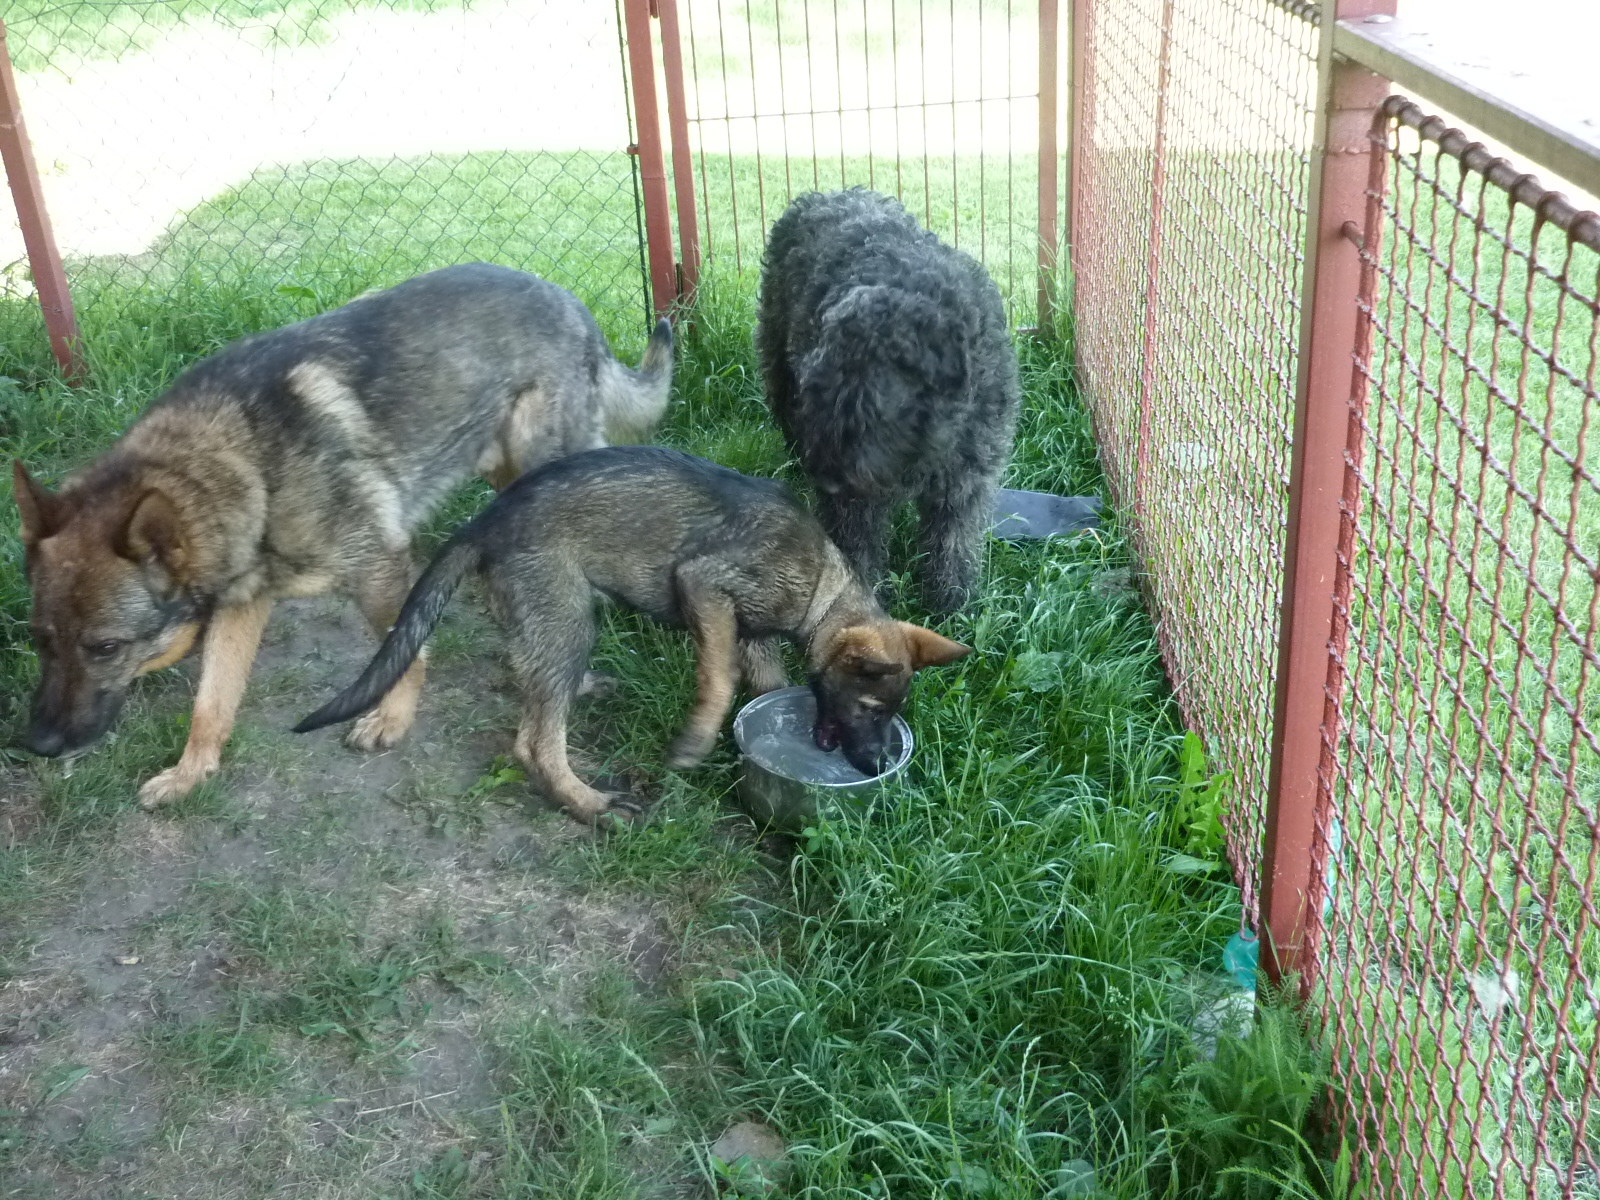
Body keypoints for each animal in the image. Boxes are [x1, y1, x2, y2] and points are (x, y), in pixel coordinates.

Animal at [12, 263, 673, 807]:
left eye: (105, 648)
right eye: (41, 640)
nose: (37, 745)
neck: (243, 466)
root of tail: (569, 301)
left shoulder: (379, 570)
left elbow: (404, 654)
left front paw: (391, 719)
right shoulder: (243, 606)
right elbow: (211, 704)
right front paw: (191, 773)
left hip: (543, 462)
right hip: (503, 470)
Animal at [292, 445, 970, 824]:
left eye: (889, 714)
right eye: (871, 709)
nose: (878, 763)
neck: (821, 589)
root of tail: (484, 521)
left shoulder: (749, 630)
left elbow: (762, 680)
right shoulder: (704, 586)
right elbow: (718, 678)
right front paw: (697, 739)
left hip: (552, 619)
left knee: (534, 680)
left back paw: (582, 694)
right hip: (568, 616)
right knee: (534, 743)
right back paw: (588, 805)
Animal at [756, 187, 1020, 613]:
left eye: (869, 410)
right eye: (814, 395)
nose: (824, 480)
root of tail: (821, 195)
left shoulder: (965, 480)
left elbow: (953, 540)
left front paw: (951, 601)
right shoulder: (855, 501)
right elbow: (857, 549)